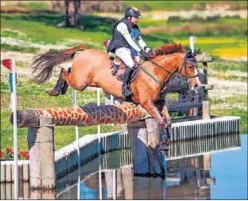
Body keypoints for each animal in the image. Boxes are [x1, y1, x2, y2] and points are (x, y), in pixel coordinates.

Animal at [31, 43, 202, 130]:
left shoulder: (159, 103)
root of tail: (85, 50)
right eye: (190, 66)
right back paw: (56, 89)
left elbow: (168, 121)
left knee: (66, 70)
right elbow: (160, 121)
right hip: (80, 83)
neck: (155, 72)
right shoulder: (147, 103)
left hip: (85, 81)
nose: (197, 85)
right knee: (63, 71)